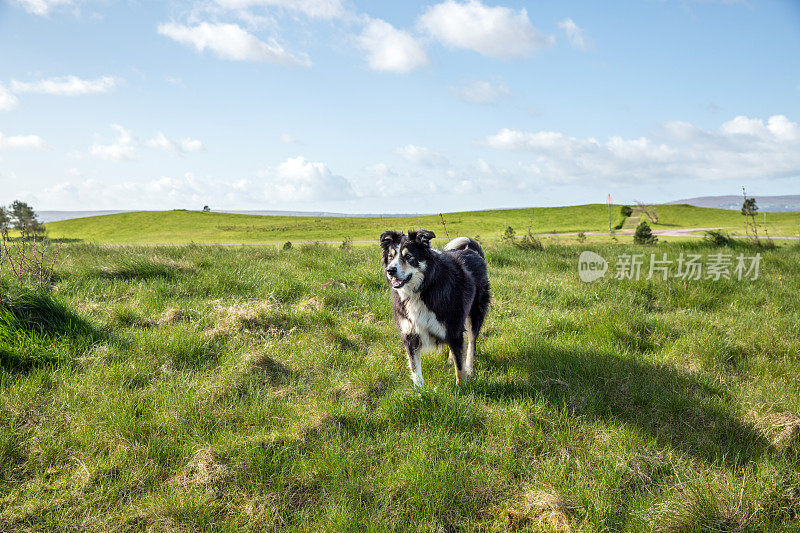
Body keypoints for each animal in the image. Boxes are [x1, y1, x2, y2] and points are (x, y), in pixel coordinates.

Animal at [380, 229, 488, 386]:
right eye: (390, 256)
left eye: (408, 256)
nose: (390, 270)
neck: (423, 289)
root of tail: (473, 252)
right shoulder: (410, 333)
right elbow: (415, 368)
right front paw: (420, 390)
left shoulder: (453, 328)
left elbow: (460, 368)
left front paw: (462, 387)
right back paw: (451, 359)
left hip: (475, 313)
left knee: (471, 343)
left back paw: (469, 368)